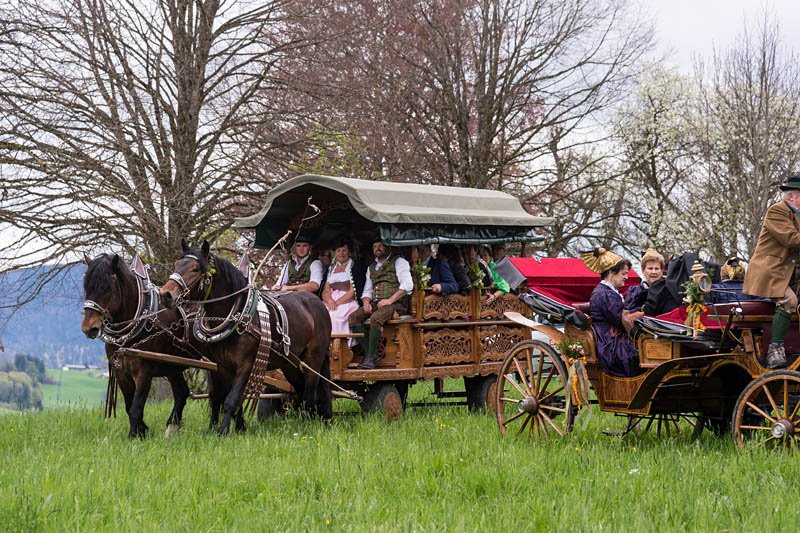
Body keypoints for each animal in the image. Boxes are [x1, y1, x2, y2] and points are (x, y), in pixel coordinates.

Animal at [80, 252, 196, 436]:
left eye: (107, 288)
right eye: (86, 287)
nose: (88, 328)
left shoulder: (144, 372)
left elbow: (136, 407)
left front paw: (134, 436)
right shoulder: (121, 371)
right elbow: (129, 407)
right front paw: (143, 431)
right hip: (172, 365)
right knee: (181, 393)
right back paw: (172, 426)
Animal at [159, 239, 332, 434]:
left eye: (195, 269)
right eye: (177, 264)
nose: (165, 294)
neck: (237, 316)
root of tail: (317, 303)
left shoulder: (246, 365)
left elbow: (231, 399)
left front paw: (223, 431)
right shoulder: (223, 366)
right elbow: (222, 397)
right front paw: (230, 428)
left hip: (313, 359)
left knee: (310, 392)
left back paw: (307, 424)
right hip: (290, 364)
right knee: (300, 390)